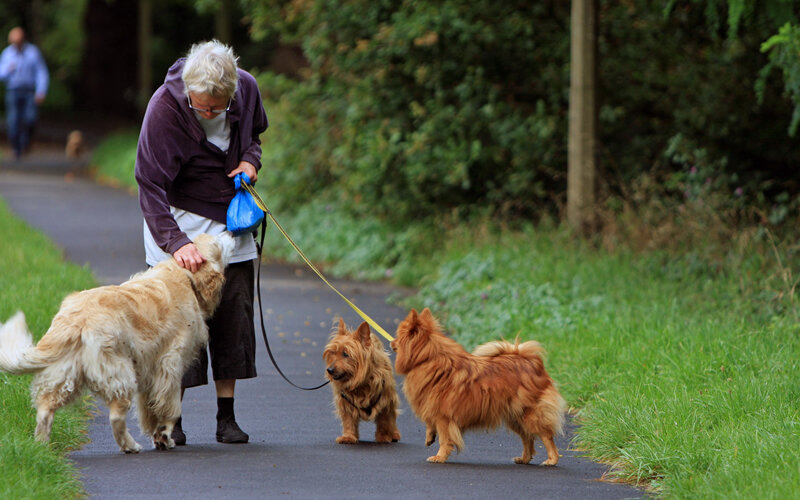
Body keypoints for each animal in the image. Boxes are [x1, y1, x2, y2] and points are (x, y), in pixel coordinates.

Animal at [0, 233, 234, 454]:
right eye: (217, 241)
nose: (231, 232)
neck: (183, 275)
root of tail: (76, 319)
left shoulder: (149, 370)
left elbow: (149, 408)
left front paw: (156, 434)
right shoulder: (169, 364)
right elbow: (171, 407)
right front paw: (165, 436)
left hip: (64, 376)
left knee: (45, 411)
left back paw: (42, 449)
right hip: (120, 374)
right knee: (115, 417)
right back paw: (130, 446)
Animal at [390, 308, 564, 464]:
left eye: (398, 337)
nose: (391, 342)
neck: (427, 358)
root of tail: (533, 363)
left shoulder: (444, 417)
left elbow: (445, 440)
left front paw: (439, 457)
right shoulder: (433, 407)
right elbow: (431, 426)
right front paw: (429, 437)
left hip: (530, 414)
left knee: (546, 436)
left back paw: (552, 460)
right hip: (515, 416)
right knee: (527, 438)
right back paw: (524, 459)